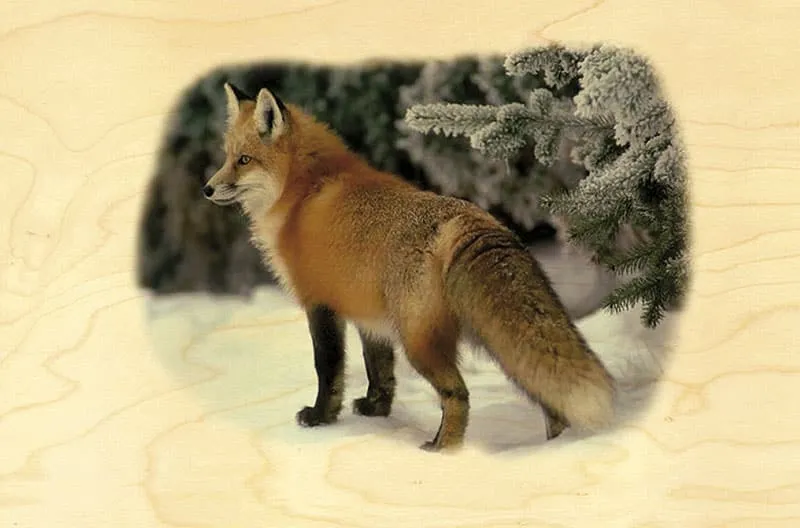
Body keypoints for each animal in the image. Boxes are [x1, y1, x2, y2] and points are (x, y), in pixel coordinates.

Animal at [202, 82, 616, 451]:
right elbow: (379, 370)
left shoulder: (320, 302)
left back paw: (442, 448)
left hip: (419, 341)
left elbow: (328, 369)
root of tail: (470, 217)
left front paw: (321, 419)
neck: (302, 192)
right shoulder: (367, 313)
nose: (207, 189)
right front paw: (375, 411)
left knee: (458, 394)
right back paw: (557, 450)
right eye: (226, 157)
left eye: (243, 160)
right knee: (547, 397)